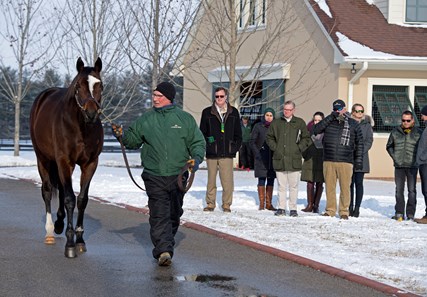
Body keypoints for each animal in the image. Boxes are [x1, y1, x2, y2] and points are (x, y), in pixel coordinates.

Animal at [29, 57, 103, 256]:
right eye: (78, 86)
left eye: (100, 85)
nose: (91, 113)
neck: (80, 127)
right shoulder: (64, 160)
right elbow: (70, 199)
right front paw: (70, 244)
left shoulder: (90, 164)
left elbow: (82, 199)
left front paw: (80, 239)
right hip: (43, 159)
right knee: (47, 191)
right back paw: (49, 232)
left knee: (62, 189)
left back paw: (59, 223)